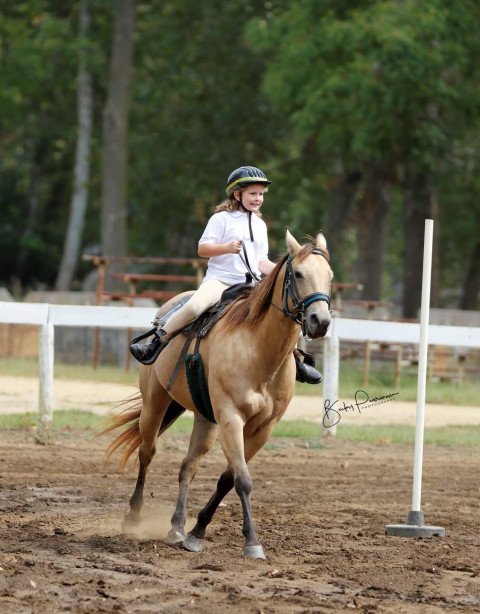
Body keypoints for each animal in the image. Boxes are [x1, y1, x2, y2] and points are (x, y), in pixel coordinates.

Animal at [102, 229, 332, 560]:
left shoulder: (262, 428)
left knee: (188, 466)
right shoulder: (231, 418)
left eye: (329, 276)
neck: (259, 351)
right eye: (298, 274)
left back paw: (177, 526)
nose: (320, 321)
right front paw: (252, 542)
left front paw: (197, 531)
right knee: (147, 452)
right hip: (155, 402)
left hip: (205, 419)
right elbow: (243, 480)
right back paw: (134, 516)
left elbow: (228, 478)